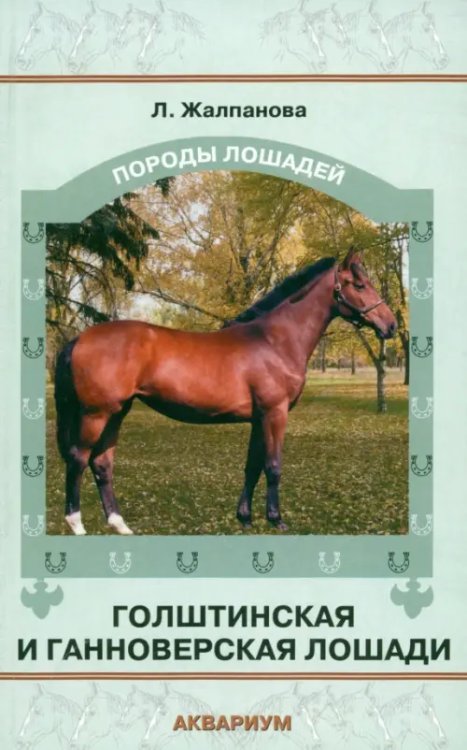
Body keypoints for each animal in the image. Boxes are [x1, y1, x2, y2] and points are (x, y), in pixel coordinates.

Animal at [54, 247, 397, 536]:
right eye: (359, 285)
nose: (391, 325)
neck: (274, 340)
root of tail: (79, 339)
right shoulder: (275, 413)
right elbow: (273, 466)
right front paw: (276, 519)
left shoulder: (259, 418)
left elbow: (252, 466)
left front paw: (244, 517)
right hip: (96, 414)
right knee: (78, 459)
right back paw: (76, 523)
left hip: (117, 412)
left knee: (102, 464)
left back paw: (119, 523)